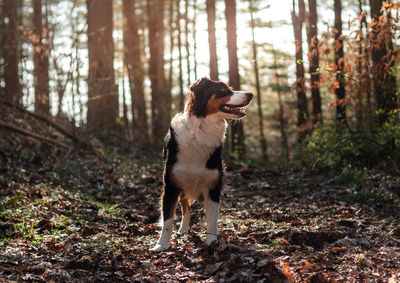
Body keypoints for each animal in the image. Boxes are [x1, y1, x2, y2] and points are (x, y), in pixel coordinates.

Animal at [152, 78, 252, 253]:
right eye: (223, 90)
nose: (251, 94)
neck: (201, 132)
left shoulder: (213, 187)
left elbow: (211, 219)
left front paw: (212, 242)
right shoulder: (171, 186)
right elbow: (167, 220)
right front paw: (162, 244)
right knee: (185, 209)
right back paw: (183, 230)